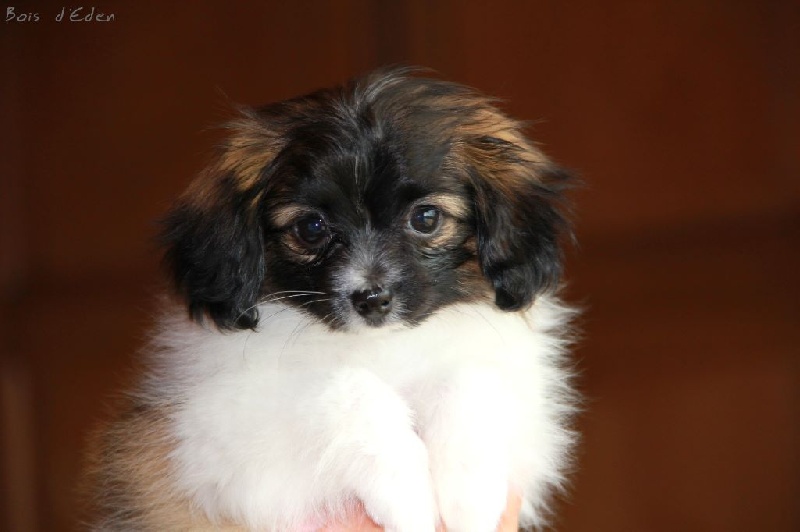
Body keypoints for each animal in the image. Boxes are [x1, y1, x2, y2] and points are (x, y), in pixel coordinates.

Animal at [87, 67, 578, 531]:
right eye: (311, 228)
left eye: (426, 218)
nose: (372, 298)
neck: (380, 346)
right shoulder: (218, 440)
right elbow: (346, 386)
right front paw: (407, 496)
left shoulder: (526, 403)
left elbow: (470, 379)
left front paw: (472, 498)